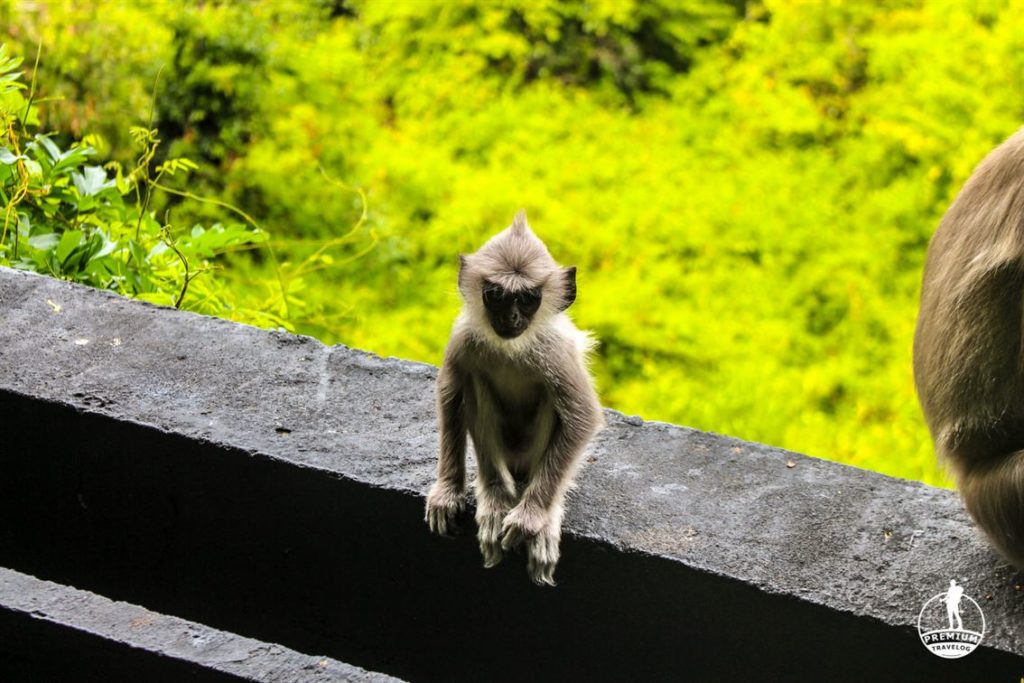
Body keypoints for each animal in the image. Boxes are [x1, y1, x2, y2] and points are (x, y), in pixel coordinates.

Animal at [421, 210, 602, 585]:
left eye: (528, 298)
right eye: (496, 295)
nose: (511, 317)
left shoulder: (554, 351)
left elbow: (583, 416)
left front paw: (532, 518)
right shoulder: (463, 338)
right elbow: (450, 396)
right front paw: (447, 491)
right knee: (475, 384)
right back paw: (494, 497)